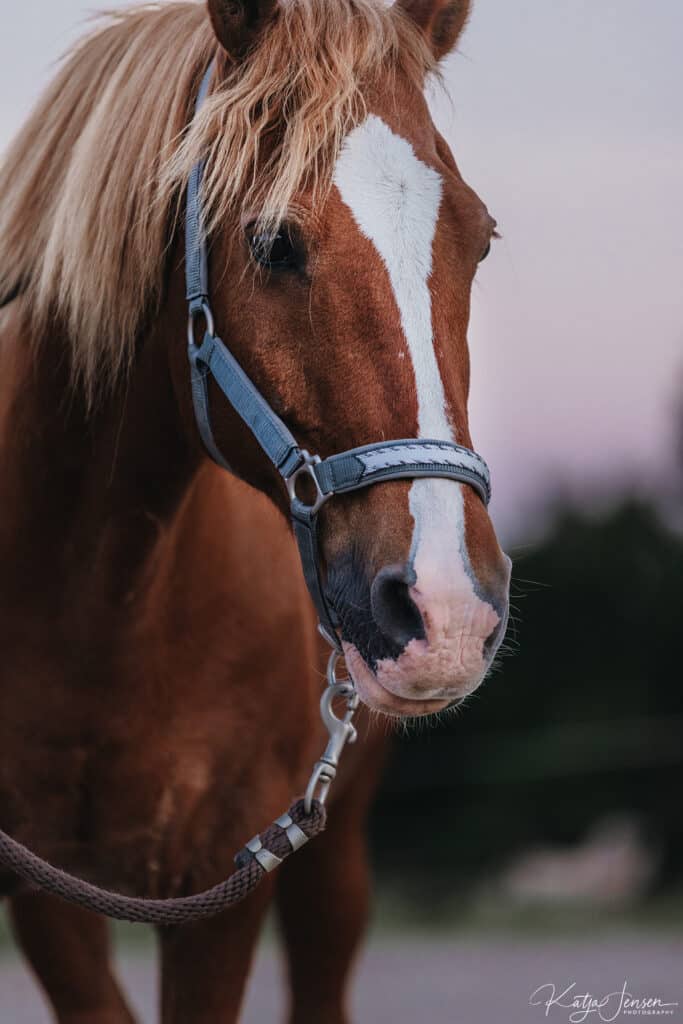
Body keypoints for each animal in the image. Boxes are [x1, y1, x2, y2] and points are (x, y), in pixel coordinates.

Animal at [0, 0, 511, 1020]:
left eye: (478, 241)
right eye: (273, 242)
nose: (447, 610)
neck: (96, 603)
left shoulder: (226, 890)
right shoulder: (44, 893)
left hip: (332, 854)